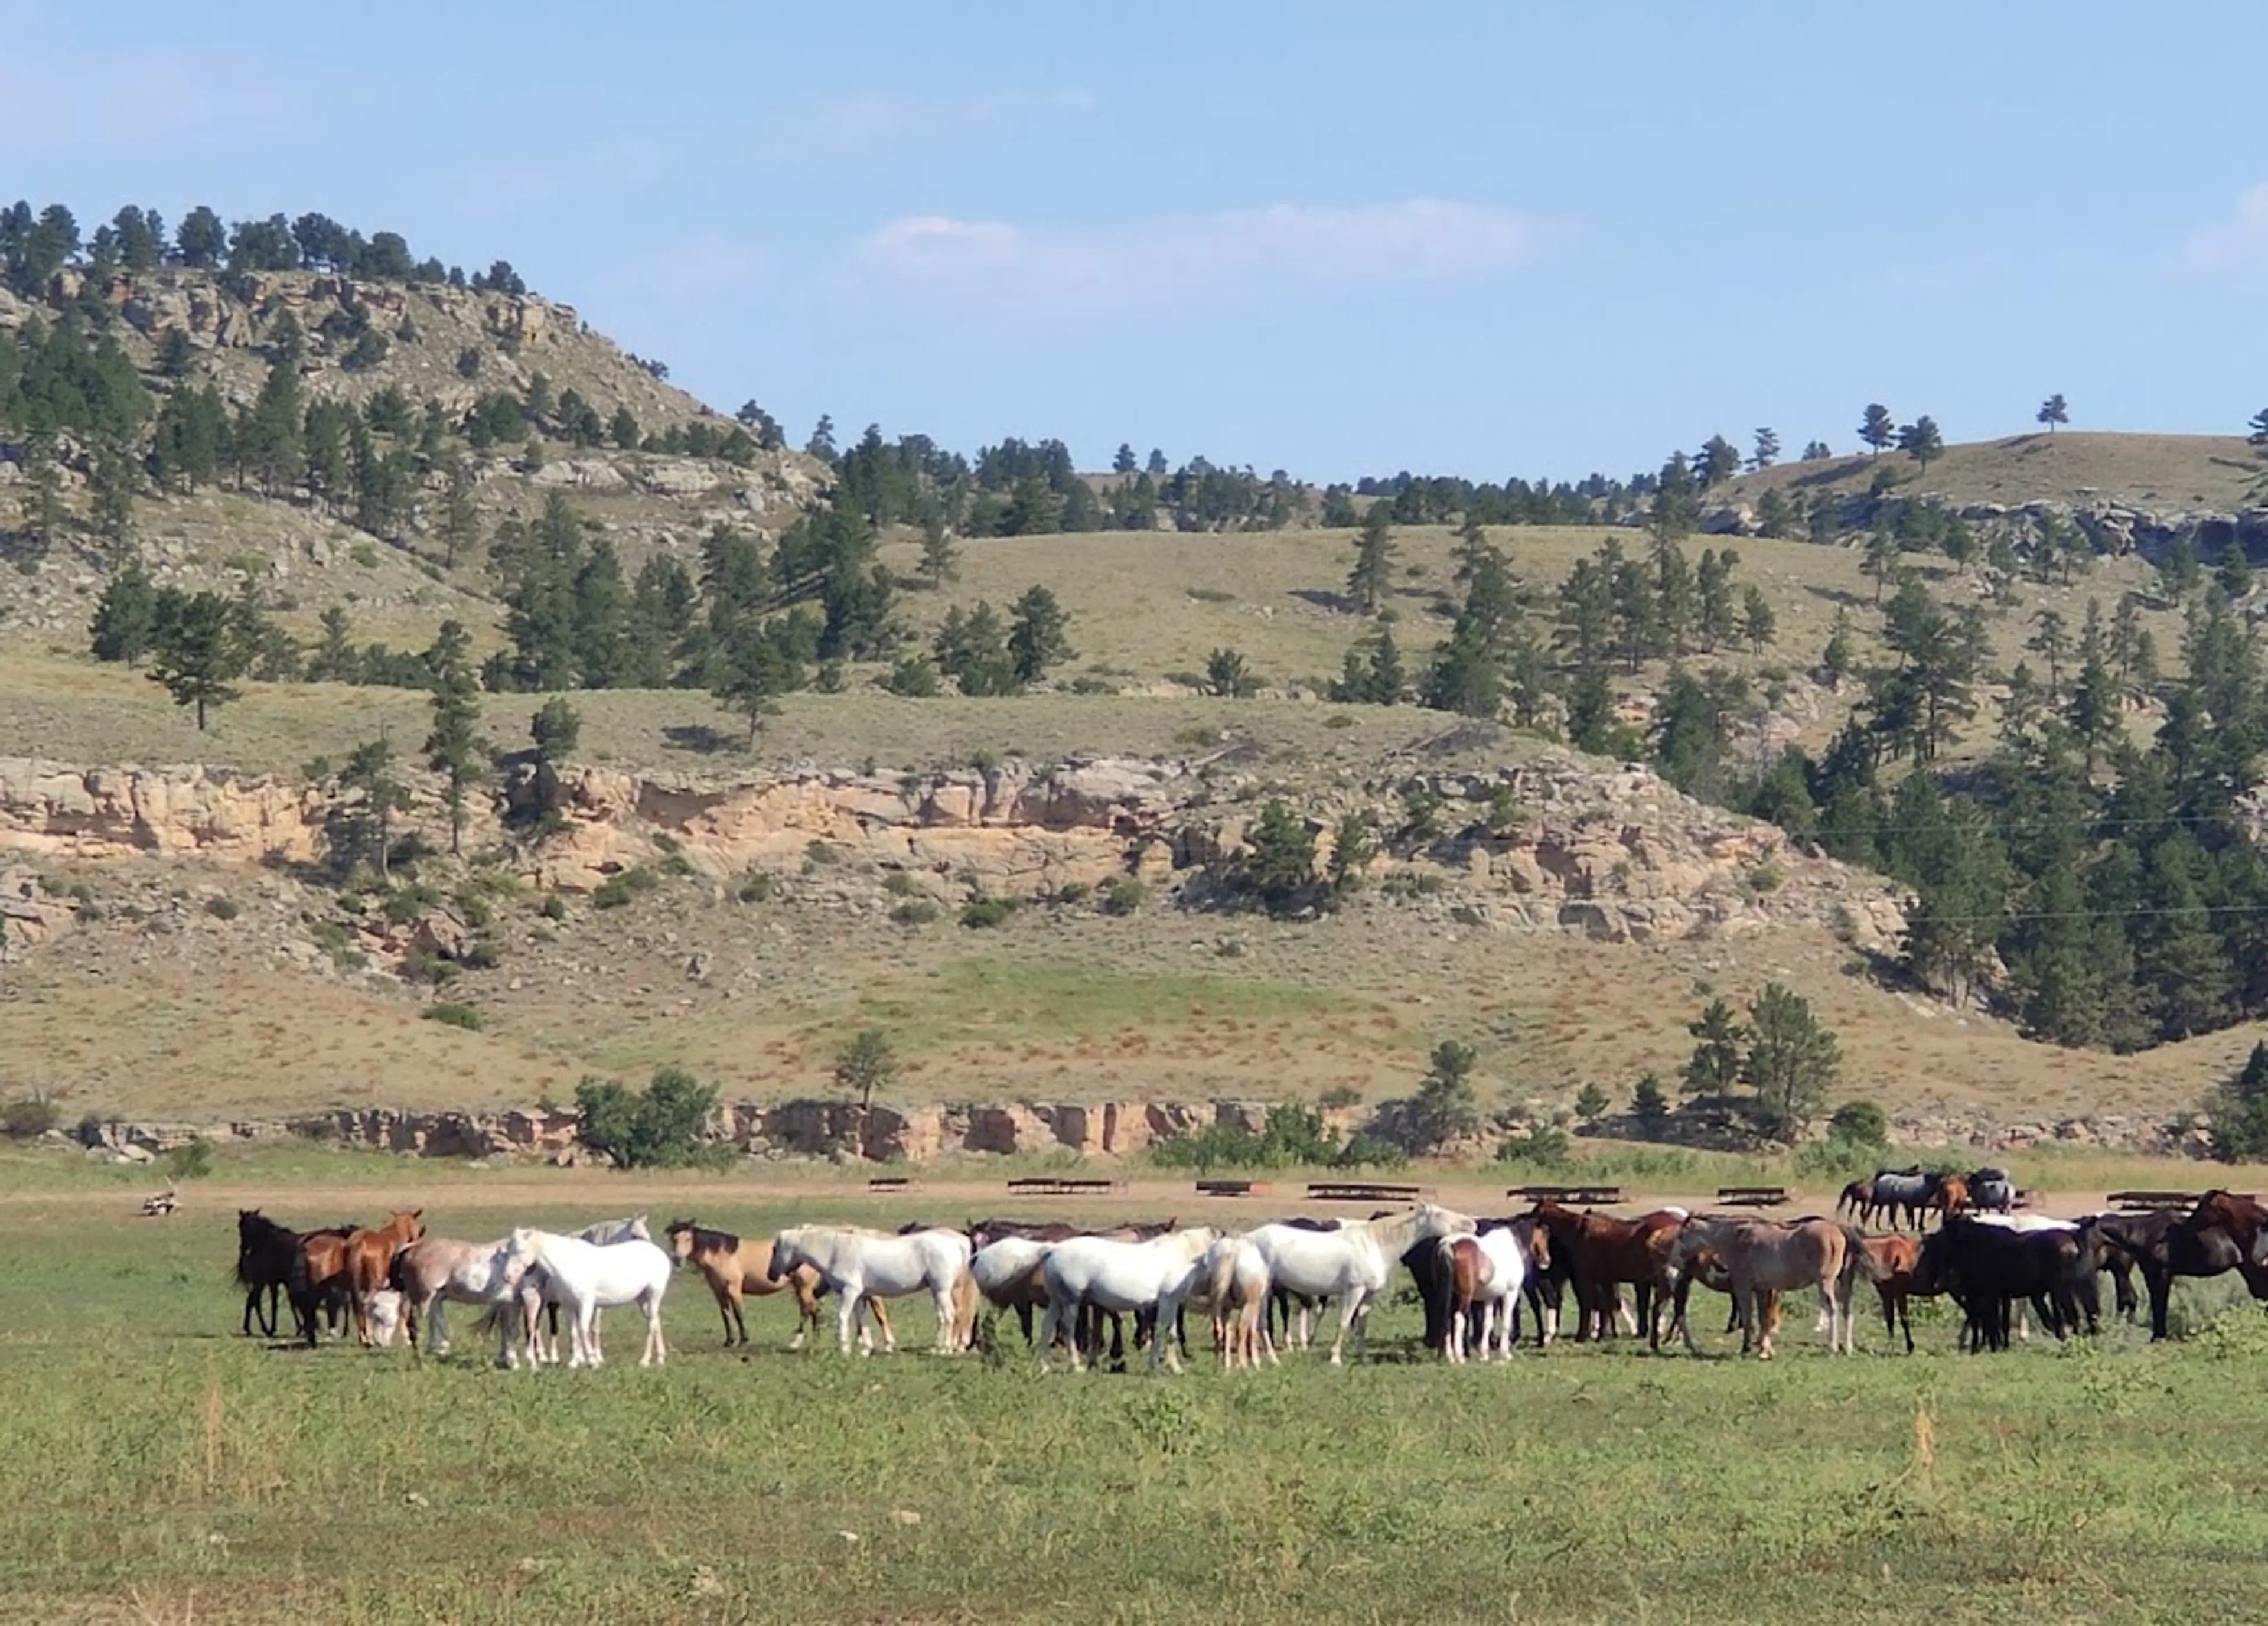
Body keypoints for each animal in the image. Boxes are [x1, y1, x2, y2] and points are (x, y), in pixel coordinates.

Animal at [340, 1206, 426, 1342]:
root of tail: (360, 1243)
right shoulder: (403, 1288)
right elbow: (404, 1308)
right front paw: (407, 1338)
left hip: (354, 1286)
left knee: (357, 1305)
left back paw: (362, 1338)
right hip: (374, 1285)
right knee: (366, 1304)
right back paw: (369, 1338)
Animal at [498, 1224, 666, 1360]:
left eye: (520, 1250)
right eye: (508, 1251)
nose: (508, 1277)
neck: (569, 1264)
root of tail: (659, 1253)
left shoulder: (587, 1304)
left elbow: (583, 1329)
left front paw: (592, 1360)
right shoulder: (568, 1305)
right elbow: (573, 1331)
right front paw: (576, 1362)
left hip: (654, 1296)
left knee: (652, 1324)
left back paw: (645, 1360)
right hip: (642, 1299)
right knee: (655, 1321)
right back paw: (660, 1358)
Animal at [766, 1224, 970, 1351]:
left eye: (775, 1249)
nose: (771, 1275)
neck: (835, 1252)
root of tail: (957, 1243)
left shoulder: (850, 1291)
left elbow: (843, 1316)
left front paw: (845, 1348)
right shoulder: (861, 1296)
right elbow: (861, 1318)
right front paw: (865, 1348)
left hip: (942, 1290)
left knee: (950, 1315)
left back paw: (946, 1349)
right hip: (936, 1291)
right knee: (942, 1317)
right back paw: (937, 1347)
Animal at [1252, 1197, 1478, 1360]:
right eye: (1440, 1214)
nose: (1472, 1224)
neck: (1373, 1244)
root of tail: (1251, 1237)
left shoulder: (1369, 1294)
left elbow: (1361, 1325)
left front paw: (1360, 1356)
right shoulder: (1355, 1291)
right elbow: (1344, 1322)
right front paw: (1335, 1358)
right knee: (1261, 1322)